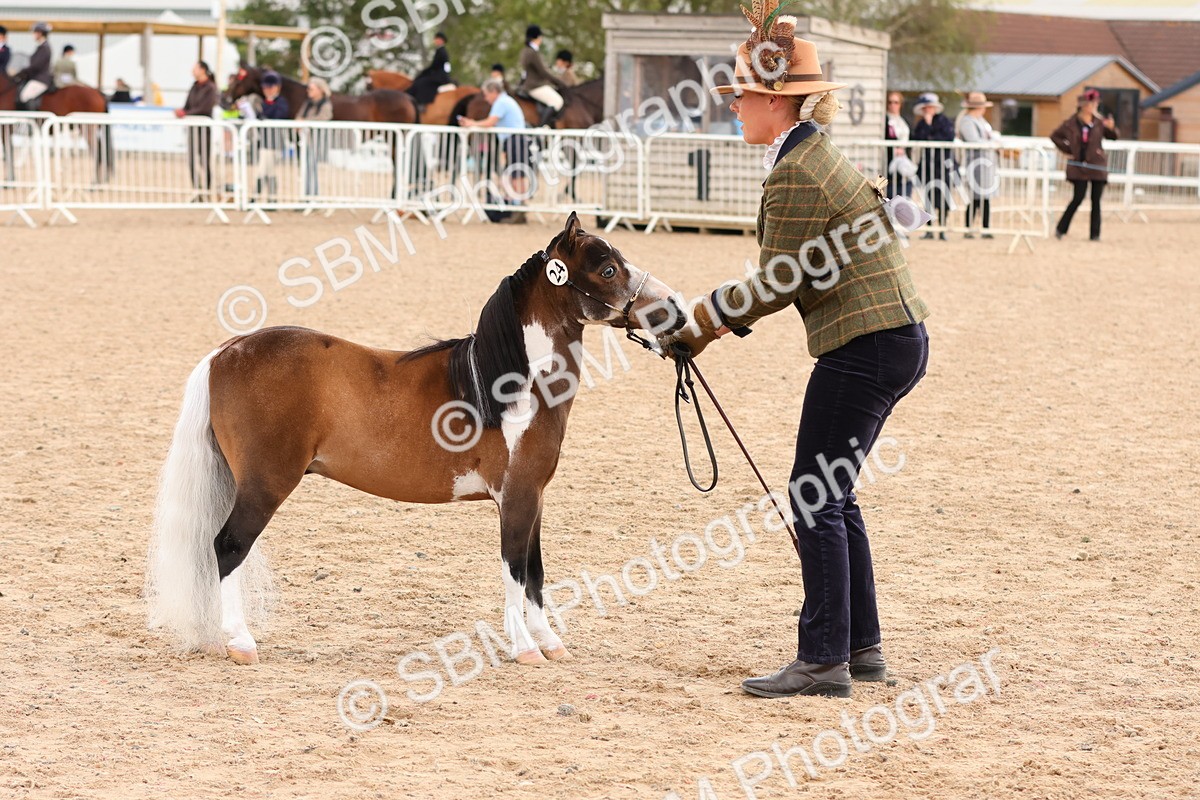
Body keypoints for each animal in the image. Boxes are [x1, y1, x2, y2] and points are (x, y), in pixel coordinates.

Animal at [145, 213, 686, 666]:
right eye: (609, 269)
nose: (676, 310)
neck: (512, 384)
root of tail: (227, 350)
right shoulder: (516, 496)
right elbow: (514, 568)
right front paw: (525, 649)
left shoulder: (533, 496)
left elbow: (534, 570)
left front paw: (550, 642)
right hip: (264, 485)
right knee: (228, 547)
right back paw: (241, 643)